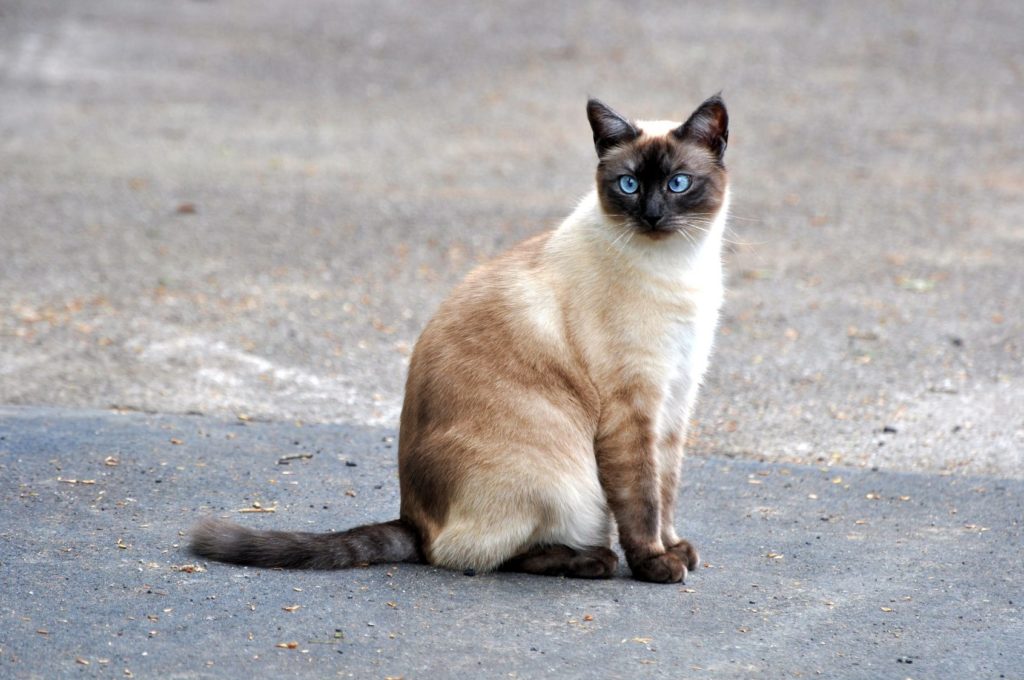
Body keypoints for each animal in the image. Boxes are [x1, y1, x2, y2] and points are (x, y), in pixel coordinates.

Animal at [192, 95, 733, 585]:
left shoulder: (675, 400)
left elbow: (666, 489)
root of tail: (413, 519)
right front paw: (657, 566)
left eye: (678, 183)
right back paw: (593, 561)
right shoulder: (633, 408)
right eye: (629, 185)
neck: (679, 270)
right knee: (481, 556)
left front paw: (675, 548)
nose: (653, 215)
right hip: (563, 482)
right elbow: (642, 499)